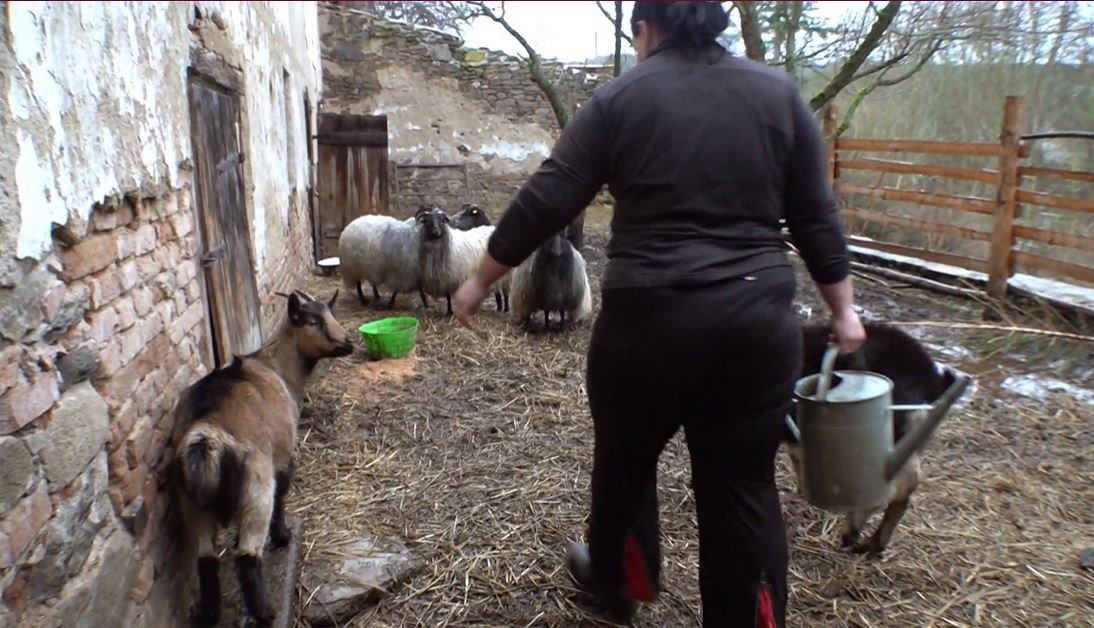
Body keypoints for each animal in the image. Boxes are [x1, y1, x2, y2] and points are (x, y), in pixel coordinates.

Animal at [169, 288, 354, 625]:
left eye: (330, 313)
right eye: (312, 321)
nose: (347, 343)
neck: (275, 367)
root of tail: (206, 435)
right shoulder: (282, 456)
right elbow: (282, 495)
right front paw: (282, 536)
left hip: (191, 502)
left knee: (206, 559)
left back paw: (210, 614)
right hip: (255, 487)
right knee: (247, 557)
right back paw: (266, 613)